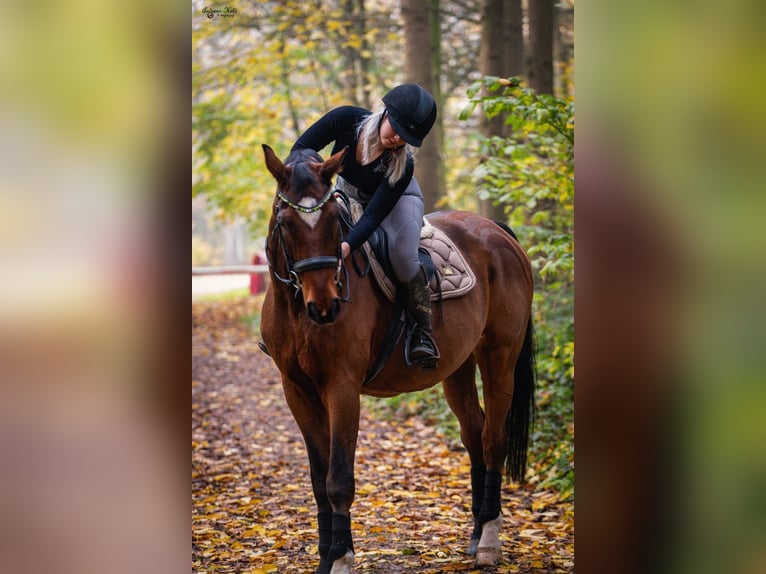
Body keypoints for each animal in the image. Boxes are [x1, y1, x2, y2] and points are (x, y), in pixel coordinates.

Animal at [260, 145, 536, 574]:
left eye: (334, 222)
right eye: (286, 222)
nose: (325, 306)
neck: (296, 311)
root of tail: (496, 232)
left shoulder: (342, 389)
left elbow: (338, 480)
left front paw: (341, 560)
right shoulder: (297, 392)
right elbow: (319, 480)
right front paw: (327, 558)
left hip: (499, 356)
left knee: (493, 439)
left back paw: (490, 542)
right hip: (458, 366)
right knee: (474, 435)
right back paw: (476, 535)